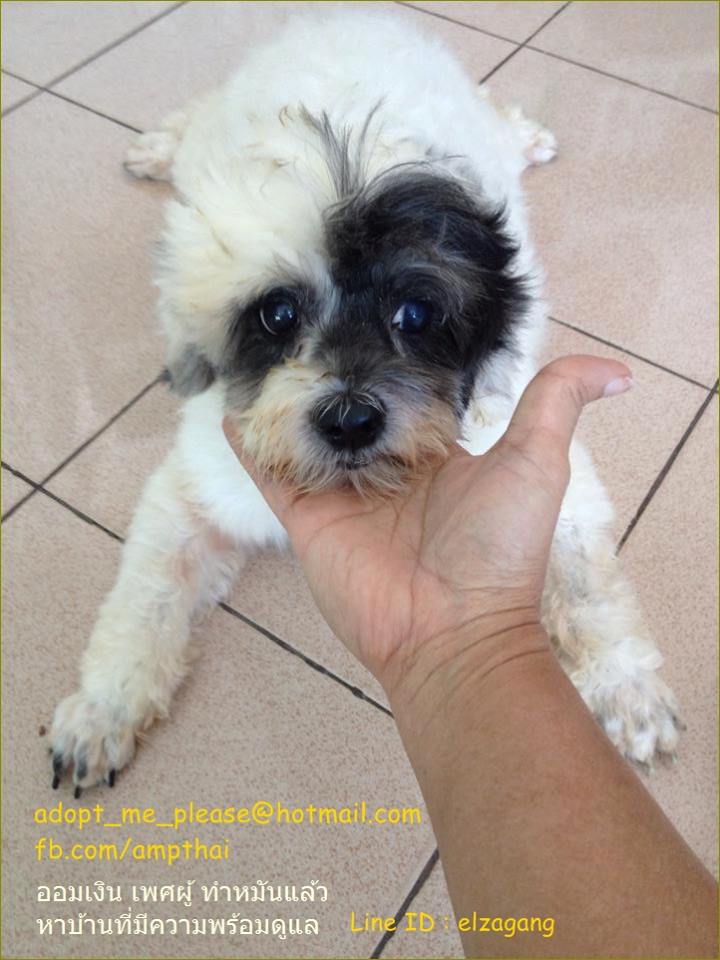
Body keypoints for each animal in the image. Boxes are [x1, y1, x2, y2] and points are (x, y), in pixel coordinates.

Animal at [50, 7, 680, 791]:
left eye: (416, 313)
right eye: (277, 314)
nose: (350, 421)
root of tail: (349, 16)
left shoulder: (546, 468)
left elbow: (590, 589)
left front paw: (625, 686)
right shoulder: (196, 489)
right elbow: (146, 597)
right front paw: (103, 705)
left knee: (497, 119)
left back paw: (526, 134)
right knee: (196, 116)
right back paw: (158, 147)